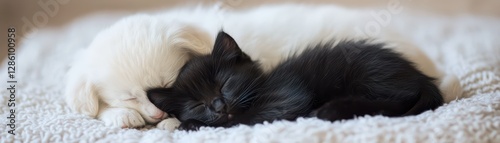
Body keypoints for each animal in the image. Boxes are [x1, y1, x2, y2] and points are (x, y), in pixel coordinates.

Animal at [146, 31, 444, 131]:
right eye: (198, 104)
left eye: (225, 85)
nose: (219, 107)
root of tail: (422, 79)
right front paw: (189, 122)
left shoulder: (288, 96)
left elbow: (244, 119)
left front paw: (190, 125)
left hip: (370, 76)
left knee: (397, 101)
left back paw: (331, 110)